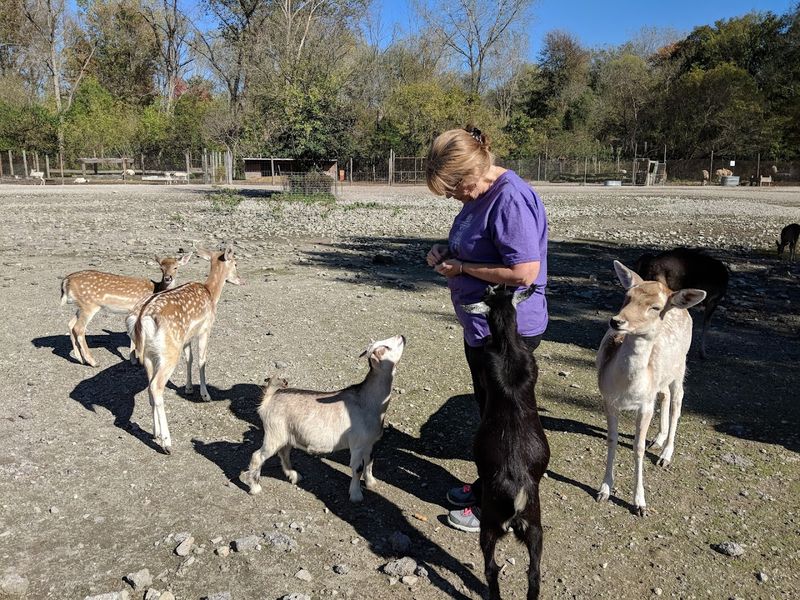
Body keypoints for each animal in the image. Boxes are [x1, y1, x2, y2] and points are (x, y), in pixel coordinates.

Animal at [60, 253, 191, 367]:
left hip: (81, 306)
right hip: (89, 305)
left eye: (176, 267)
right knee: (79, 328)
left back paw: (80, 359)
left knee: (71, 324)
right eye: (161, 268)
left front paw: (133, 359)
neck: (156, 289)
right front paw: (137, 360)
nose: (168, 278)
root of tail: (66, 281)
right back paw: (93, 362)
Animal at [132, 245, 242, 454]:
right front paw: (205, 394)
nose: (241, 280)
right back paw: (167, 443)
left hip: (149, 355)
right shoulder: (205, 329)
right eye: (235, 263)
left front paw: (189, 388)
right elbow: (202, 360)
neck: (211, 293)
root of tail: (145, 319)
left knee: (150, 386)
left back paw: (156, 433)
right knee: (156, 386)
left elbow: (189, 359)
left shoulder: (186, 338)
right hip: (169, 353)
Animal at [596, 261, 705, 517]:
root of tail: (675, 297)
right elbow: (612, 440)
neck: (627, 388)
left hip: (680, 366)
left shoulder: (645, 405)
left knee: (677, 401)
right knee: (664, 395)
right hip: (662, 377)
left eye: (655, 307)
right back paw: (657, 438)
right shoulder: (608, 399)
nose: (616, 321)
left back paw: (665, 454)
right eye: (627, 296)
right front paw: (604, 490)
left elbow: (637, 448)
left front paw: (640, 504)